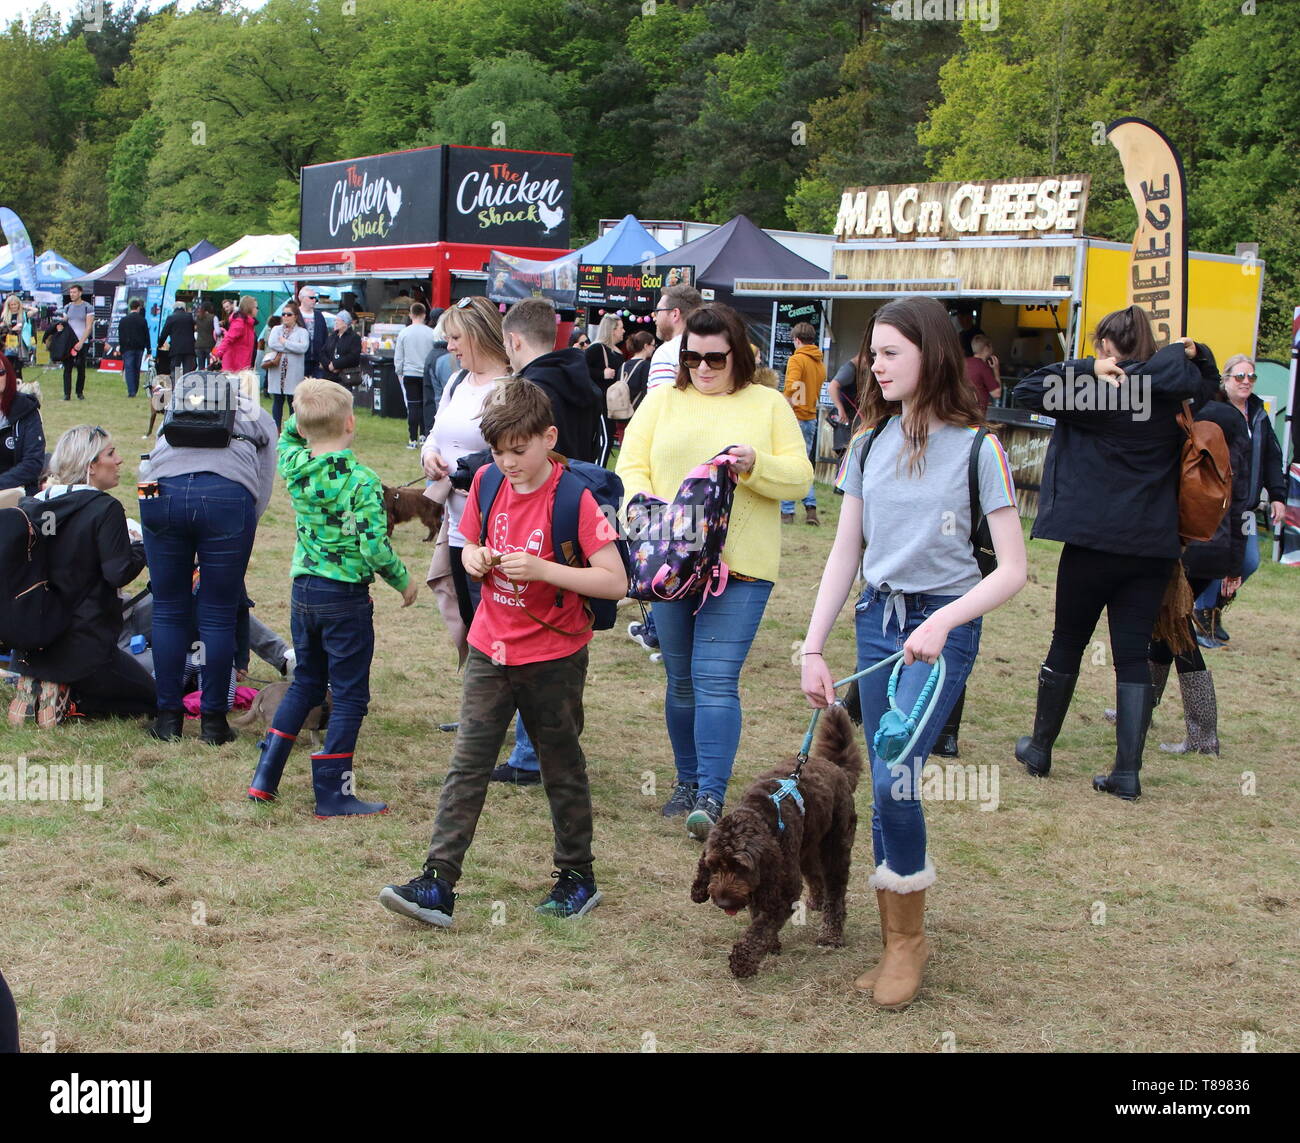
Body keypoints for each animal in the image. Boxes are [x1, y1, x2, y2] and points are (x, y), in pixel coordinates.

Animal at [691, 702, 863, 977]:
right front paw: (770, 945)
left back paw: (831, 934)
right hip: (807, 847)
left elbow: (762, 924)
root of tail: (836, 768)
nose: (724, 902)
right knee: (815, 874)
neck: (760, 812)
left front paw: (744, 960)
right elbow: (758, 912)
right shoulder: (760, 882)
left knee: (836, 891)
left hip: (836, 846)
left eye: (740, 866)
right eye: (715, 865)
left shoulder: (781, 887)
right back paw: (816, 900)